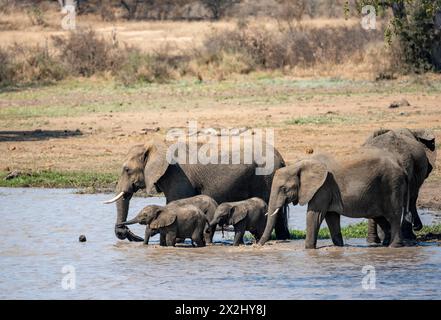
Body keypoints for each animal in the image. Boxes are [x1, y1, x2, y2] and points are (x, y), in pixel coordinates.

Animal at [103, 139, 288, 241]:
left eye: (127, 170)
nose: (129, 234)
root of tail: (281, 158)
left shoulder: (177, 176)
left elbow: (173, 203)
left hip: (265, 176)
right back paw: (284, 238)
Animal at [258, 149, 410, 249]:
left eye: (284, 189)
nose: (257, 245)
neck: (300, 164)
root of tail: (402, 168)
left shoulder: (323, 187)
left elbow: (315, 215)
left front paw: (308, 249)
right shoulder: (327, 190)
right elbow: (331, 217)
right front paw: (339, 246)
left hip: (392, 185)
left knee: (393, 216)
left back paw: (394, 246)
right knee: (381, 217)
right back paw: (386, 244)